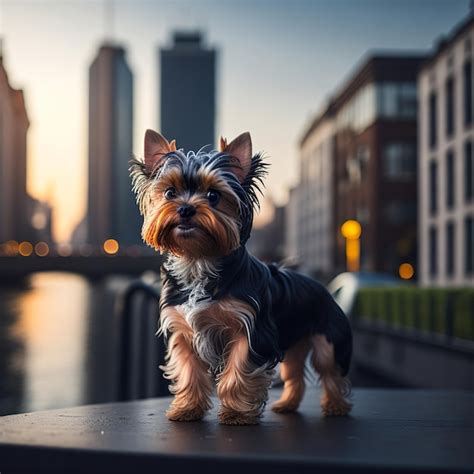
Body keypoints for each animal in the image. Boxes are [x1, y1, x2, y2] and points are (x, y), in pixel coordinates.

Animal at [130, 130, 352, 426]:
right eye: (169, 192)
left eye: (213, 195)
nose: (185, 209)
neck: (199, 259)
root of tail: (323, 286)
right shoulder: (183, 331)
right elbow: (189, 371)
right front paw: (187, 409)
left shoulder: (251, 329)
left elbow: (238, 370)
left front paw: (237, 414)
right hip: (294, 341)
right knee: (294, 373)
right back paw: (287, 405)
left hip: (327, 336)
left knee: (331, 370)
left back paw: (336, 406)